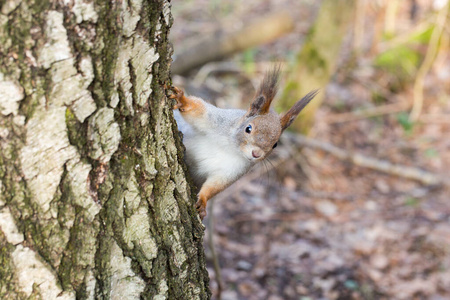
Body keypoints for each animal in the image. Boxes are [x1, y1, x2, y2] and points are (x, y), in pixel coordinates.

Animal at [167, 67, 318, 220]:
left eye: (275, 144)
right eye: (248, 128)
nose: (256, 154)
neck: (231, 147)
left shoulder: (234, 170)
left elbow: (215, 186)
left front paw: (203, 203)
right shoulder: (217, 120)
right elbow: (197, 110)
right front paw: (182, 100)